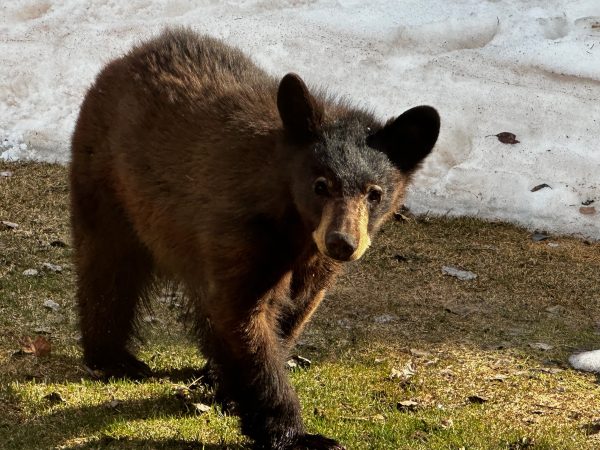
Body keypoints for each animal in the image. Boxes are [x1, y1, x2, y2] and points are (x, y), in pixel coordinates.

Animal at [70, 28, 440, 450]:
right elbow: (245, 315)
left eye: (374, 193)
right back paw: (114, 358)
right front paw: (296, 434)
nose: (342, 243)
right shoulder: (242, 232)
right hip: (106, 182)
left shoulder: (313, 265)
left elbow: (293, 310)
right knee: (107, 265)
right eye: (320, 185)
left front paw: (229, 387)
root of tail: (128, 56)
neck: (296, 228)